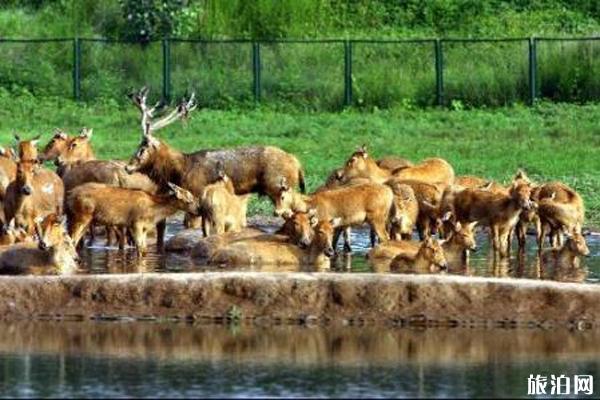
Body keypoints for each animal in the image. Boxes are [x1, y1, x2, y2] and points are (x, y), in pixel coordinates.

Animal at [65, 182, 200, 256]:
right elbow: (140, 248)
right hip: (81, 217)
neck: (154, 213)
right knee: (72, 240)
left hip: (83, 220)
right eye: (190, 199)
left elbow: (144, 249)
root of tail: (69, 195)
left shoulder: (144, 228)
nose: (199, 210)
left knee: (73, 241)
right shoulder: (136, 223)